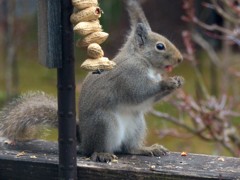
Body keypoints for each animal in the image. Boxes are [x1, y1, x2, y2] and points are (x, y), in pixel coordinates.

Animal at [0, 0, 184, 163]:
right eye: (160, 46)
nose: (180, 59)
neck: (142, 60)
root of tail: (83, 140)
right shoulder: (129, 76)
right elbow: (139, 93)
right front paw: (166, 83)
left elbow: (146, 101)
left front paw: (178, 81)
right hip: (104, 124)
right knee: (97, 149)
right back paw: (102, 154)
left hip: (136, 124)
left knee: (128, 148)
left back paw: (146, 149)